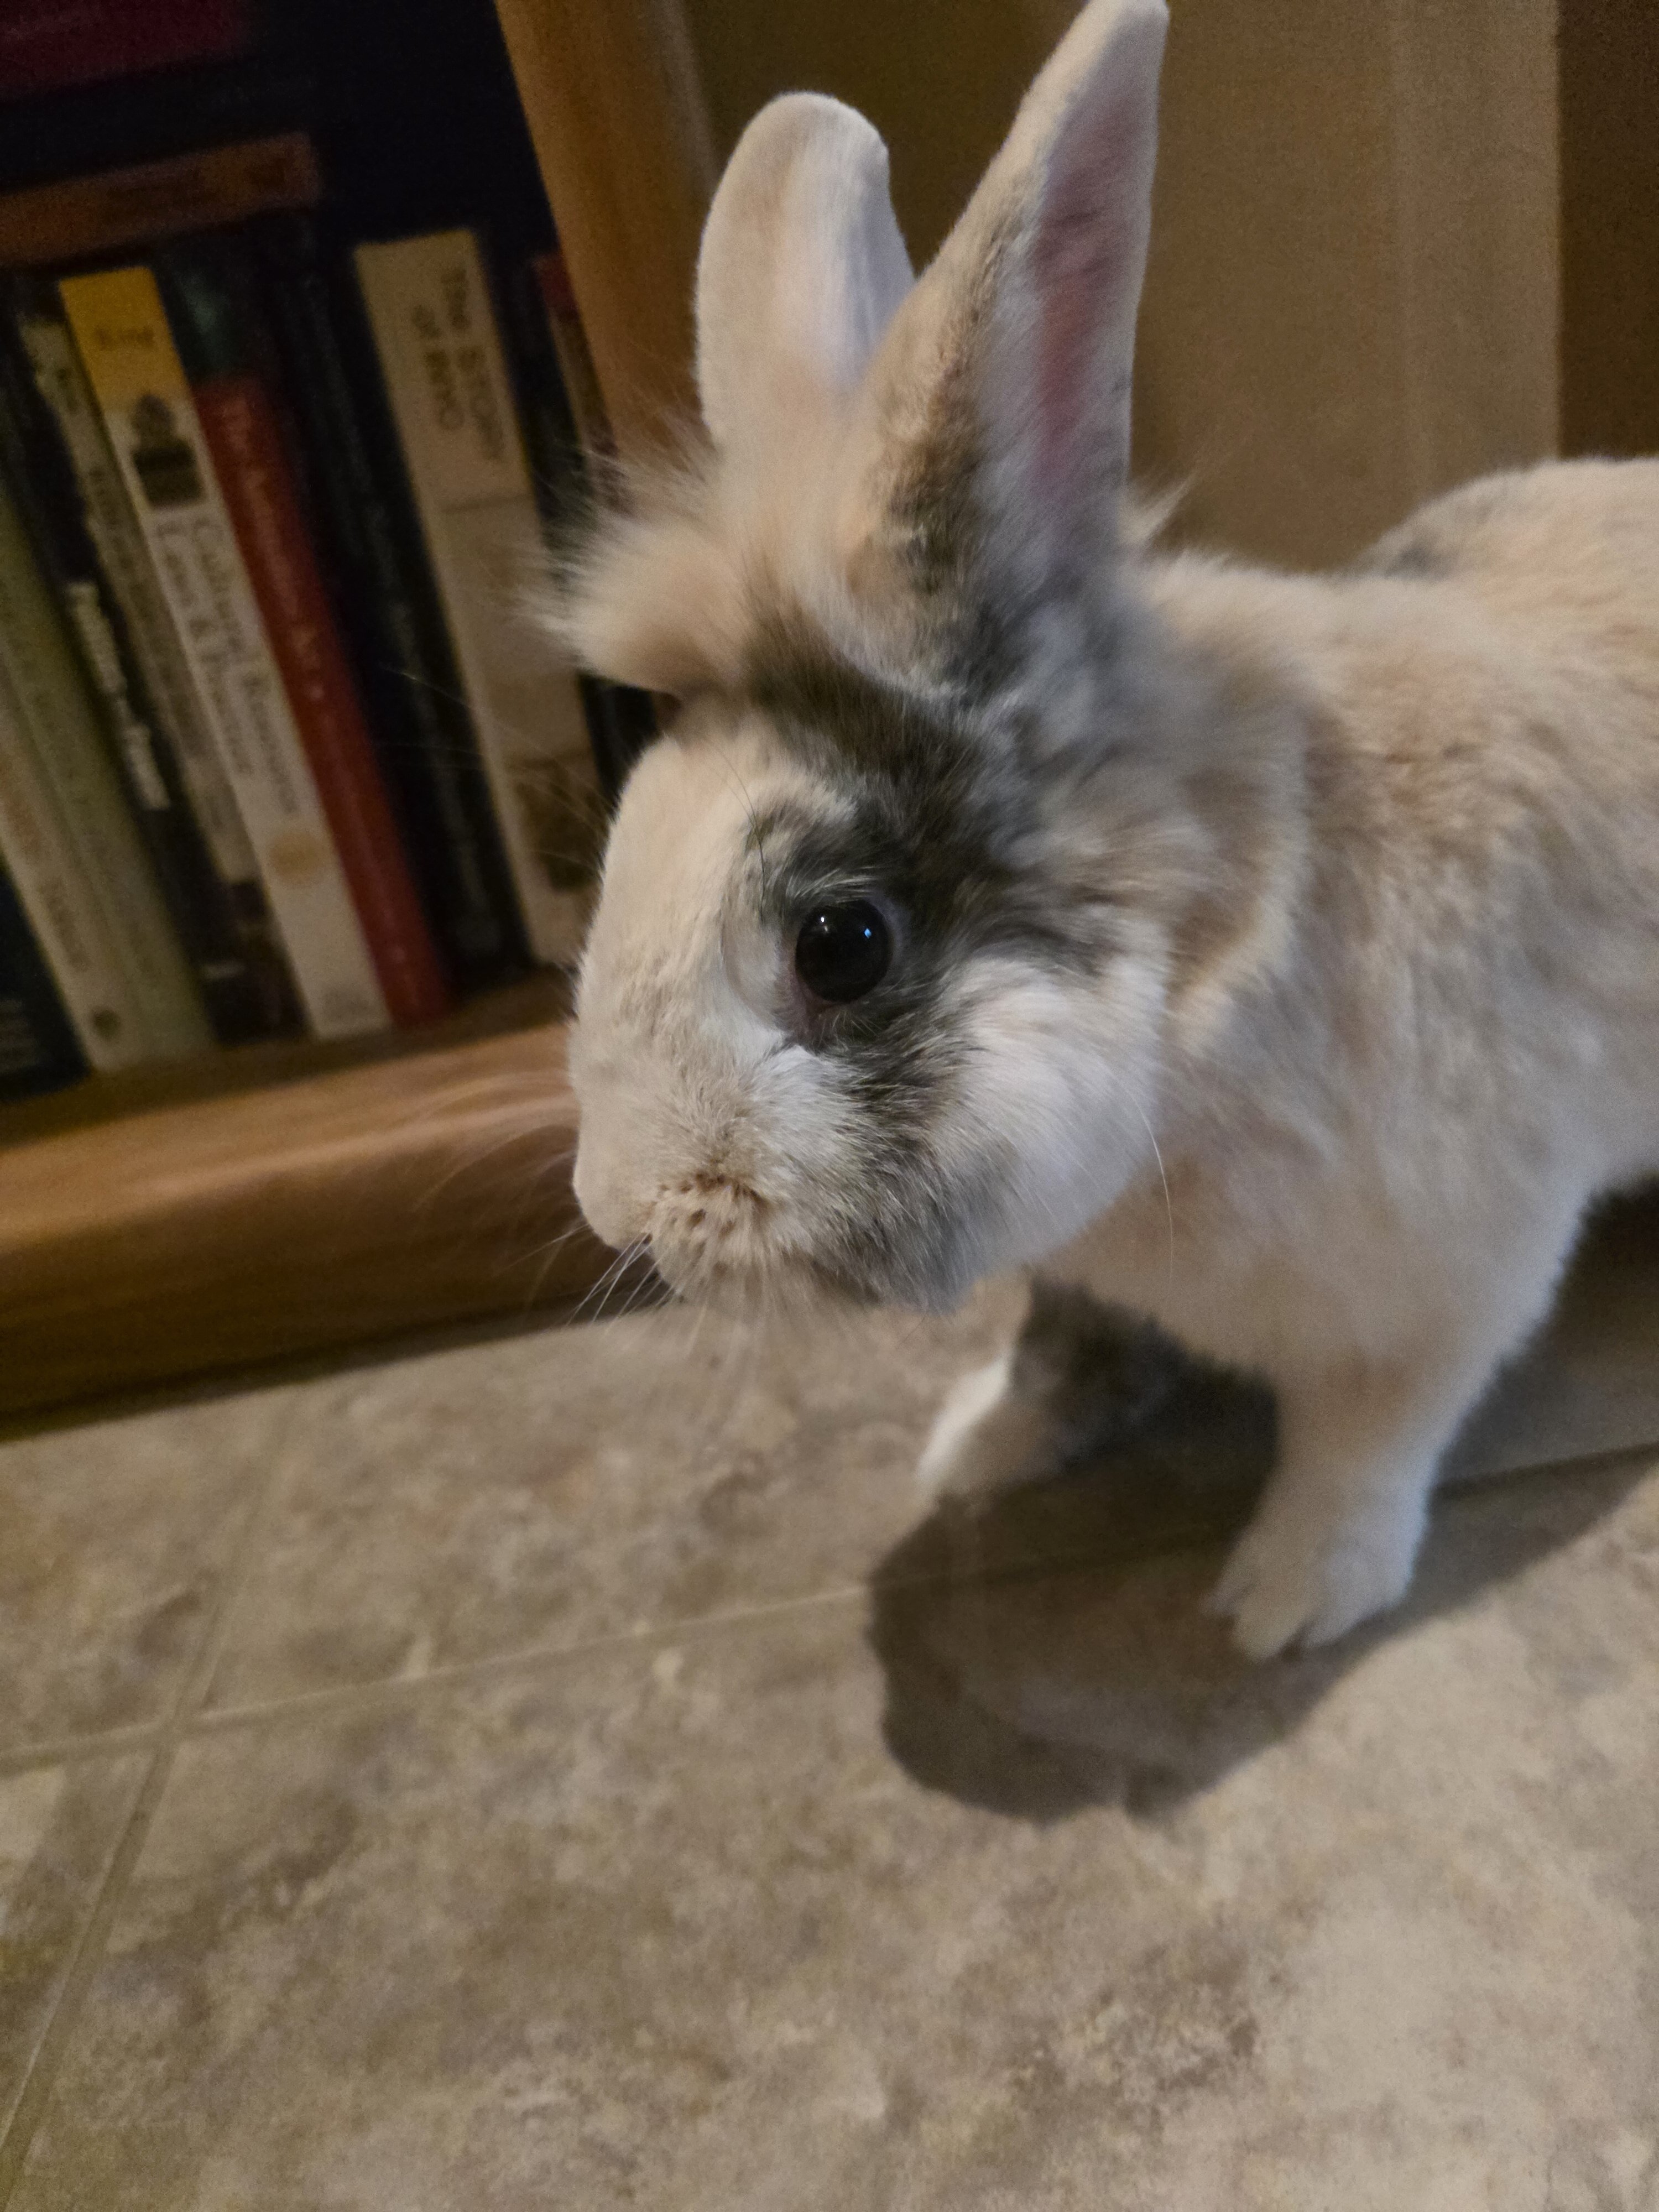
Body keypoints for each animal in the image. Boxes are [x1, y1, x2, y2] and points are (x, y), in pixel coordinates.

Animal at [556, 0, 1659, 1656]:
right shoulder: (1081, 1272)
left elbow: (1365, 1434)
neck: (1207, 981)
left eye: (841, 943)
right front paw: (975, 1451)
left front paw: (1286, 1600)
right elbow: (1062, 1342)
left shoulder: (1449, 1281)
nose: (620, 1213)